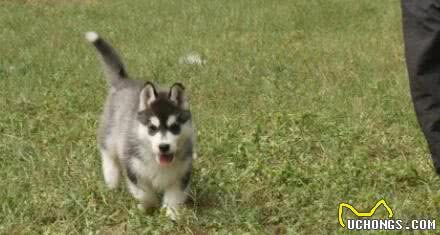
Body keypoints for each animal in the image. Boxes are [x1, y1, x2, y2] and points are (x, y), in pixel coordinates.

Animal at [85, 31, 194, 220]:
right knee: (107, 154)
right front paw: (148, 208)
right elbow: (144, 193)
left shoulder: (182, 173)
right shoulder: (132, 166)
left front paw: (171, 215)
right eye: (152, 128)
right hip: (109, 135)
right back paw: (111, 178)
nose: (164, 147)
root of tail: (125, 81)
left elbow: (173, 196)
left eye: (174, 127)